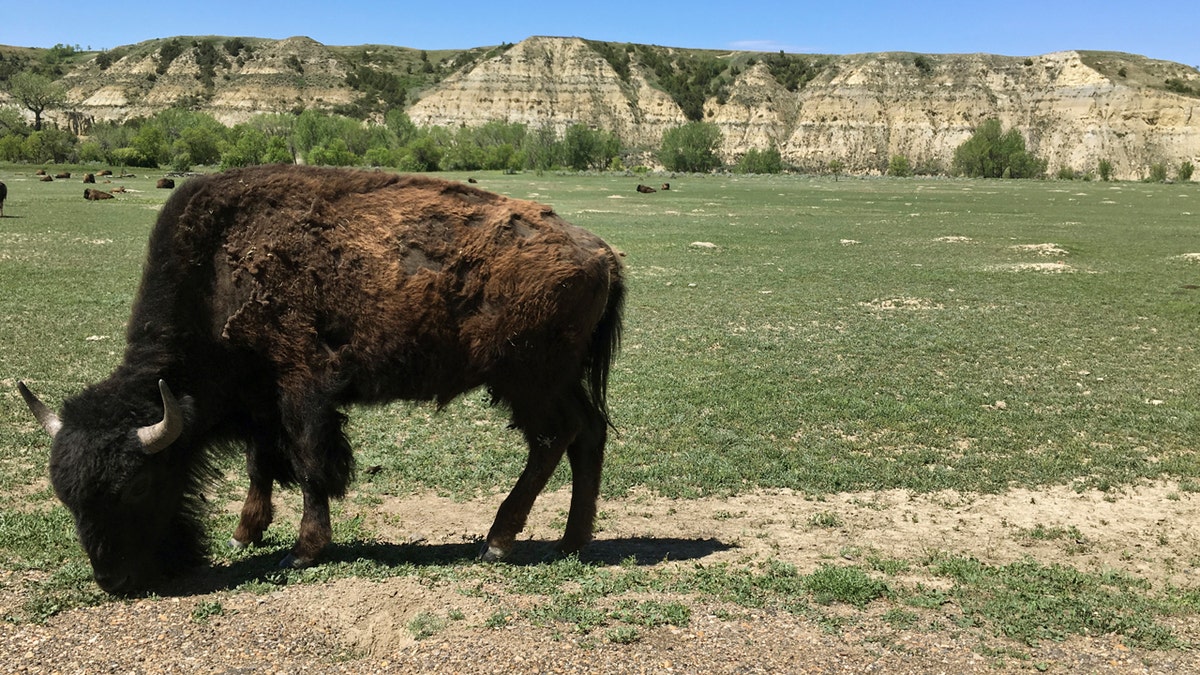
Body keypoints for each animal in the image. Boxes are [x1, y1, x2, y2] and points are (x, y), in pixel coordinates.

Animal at [21, 164, 628, 593]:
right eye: (66, 497)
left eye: (138, 485)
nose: (114, 580)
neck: (217, 273)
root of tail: (602, 253)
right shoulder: (262, 399)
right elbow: (263, 462)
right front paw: (245, 532)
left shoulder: (303, 389)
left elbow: (310, 463)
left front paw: (304, 549)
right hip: (555, 380)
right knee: (588, 433)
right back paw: (571, 542)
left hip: (528, 381)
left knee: (554, 438)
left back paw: (499, 542)